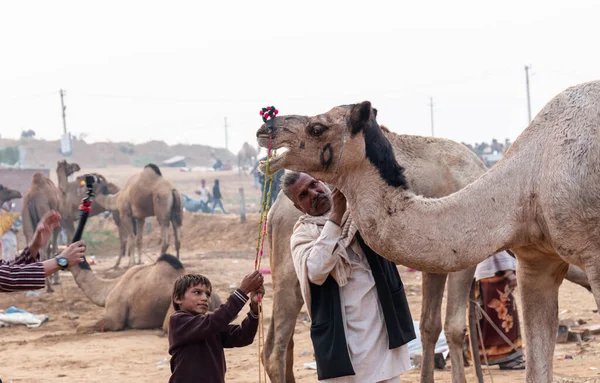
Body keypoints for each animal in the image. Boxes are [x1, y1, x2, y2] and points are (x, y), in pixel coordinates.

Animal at [256, 82, 600, 383]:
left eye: (317, 127)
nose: (266, 128)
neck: (529, 183)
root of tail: (274, 212)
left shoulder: (541, 258)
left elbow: (436, 326)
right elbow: (451, 327)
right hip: (289, 268)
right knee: (275, 344)